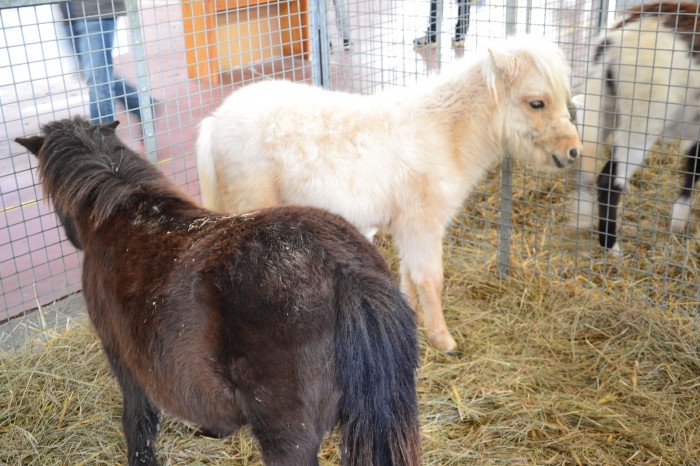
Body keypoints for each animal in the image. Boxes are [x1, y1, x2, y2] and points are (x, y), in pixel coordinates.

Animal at [196, 35, 580, 354]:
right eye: (536, 103)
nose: (573, 151)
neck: (442, 132)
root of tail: (215, 121)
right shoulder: (423, 226)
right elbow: (430, 280)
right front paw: (444, 340)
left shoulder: (407, 229)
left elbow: (409, 278)